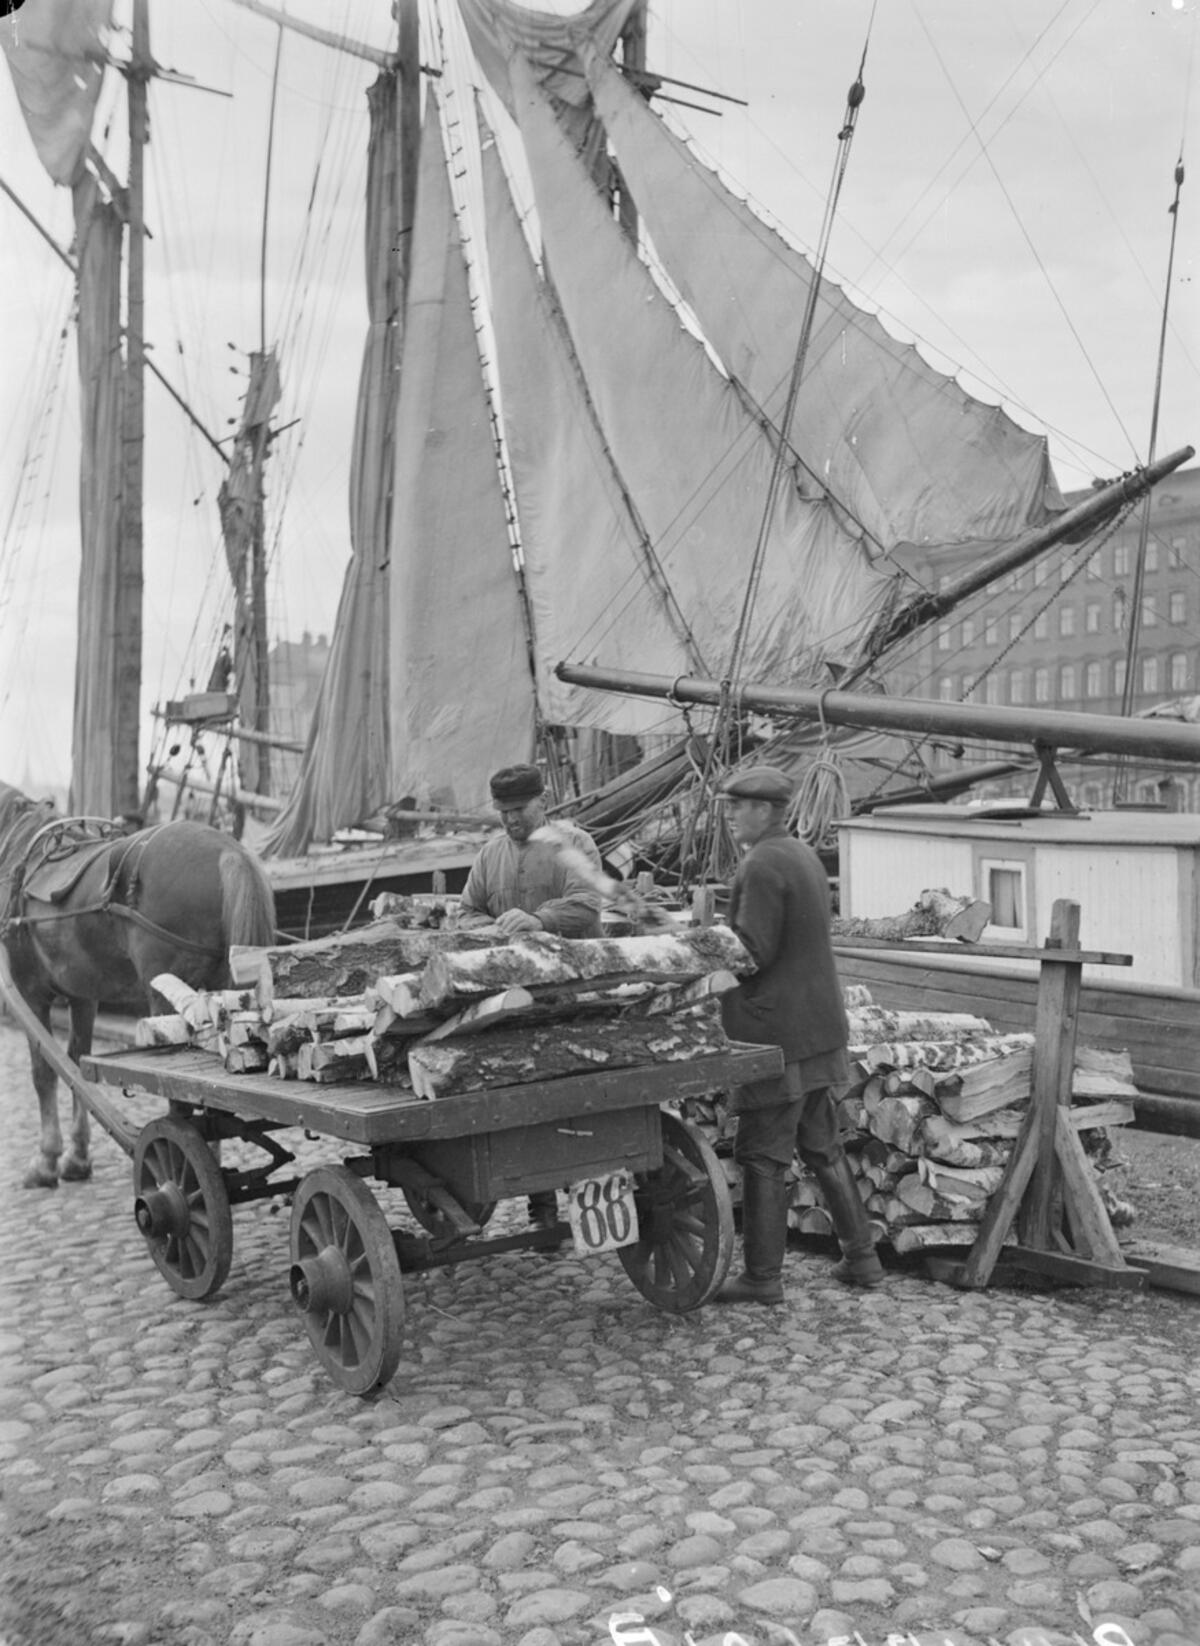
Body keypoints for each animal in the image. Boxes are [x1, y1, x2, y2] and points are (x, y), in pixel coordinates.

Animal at [0, 780, 273, 1185]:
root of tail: (229, 850)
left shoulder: (31, 991)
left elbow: (44, 1072)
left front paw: (46, 1160)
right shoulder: (83, 996)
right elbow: (76, 1062)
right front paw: (77, 1157)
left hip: (164, 997)